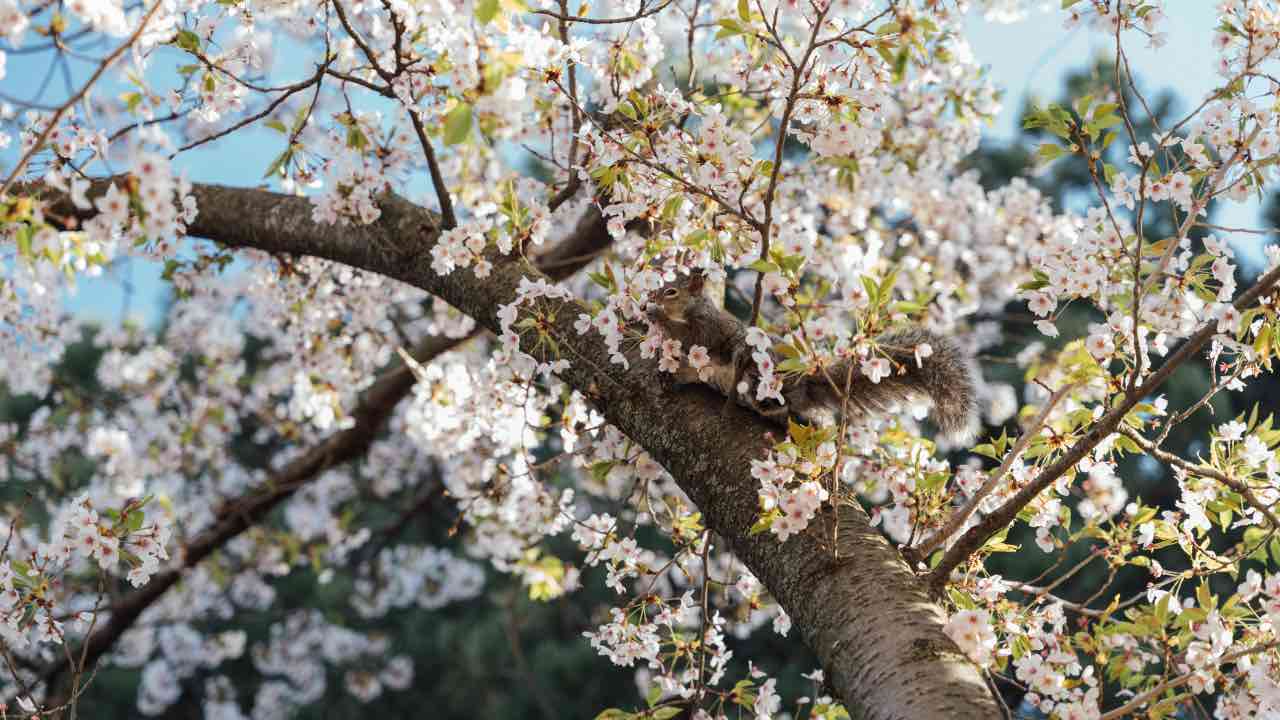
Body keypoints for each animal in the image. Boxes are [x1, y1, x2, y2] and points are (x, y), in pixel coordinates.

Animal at [645, 265, 972, 438]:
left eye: (671, 291)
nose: (650, 298)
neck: (690, 311)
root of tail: (807, 384)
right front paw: (666, 373)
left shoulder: (707, 328)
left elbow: (690, 336)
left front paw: (656, 315)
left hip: (767, 375)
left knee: (776, 398)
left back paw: (768, 403)